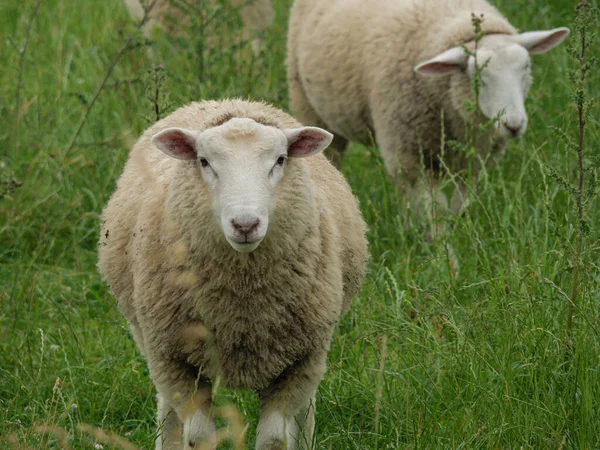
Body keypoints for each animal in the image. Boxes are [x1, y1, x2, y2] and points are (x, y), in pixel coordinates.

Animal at [97, 99, 370, 450]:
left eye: (280, 160)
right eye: (204, 161)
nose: (245, 224)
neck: (242, 304)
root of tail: (231, 102)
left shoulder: (298, 362)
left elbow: (275, 439)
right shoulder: (176, 361)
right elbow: (198, 437)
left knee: (304, 413)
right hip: (150, 341)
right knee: (167, 412)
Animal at [288, 0, 568, 239]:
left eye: (526, 67)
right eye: (477, 74)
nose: (514, 125)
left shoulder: (475, 160)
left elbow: (460, 204)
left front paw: (459, 233)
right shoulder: (412, 152)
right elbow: (436, 211)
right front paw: (445, 255)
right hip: (311, 106)